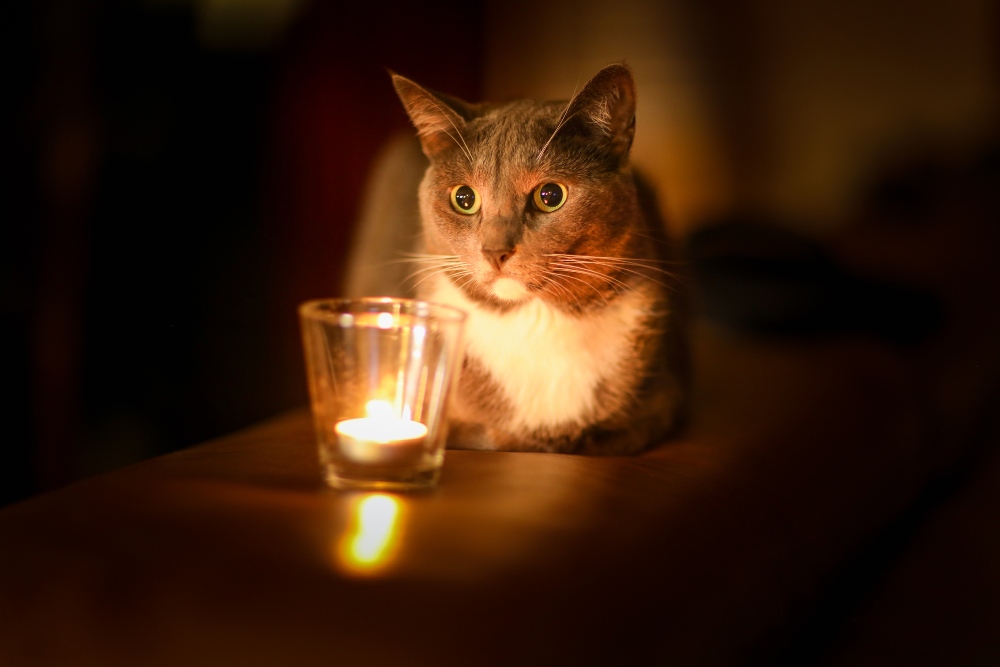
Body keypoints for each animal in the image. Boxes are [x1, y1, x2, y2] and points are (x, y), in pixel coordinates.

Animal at [352, 65, 688, 456]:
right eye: (463, 198)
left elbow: (606, 437)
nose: (494, 250)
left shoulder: (661, 406)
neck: (536, 318)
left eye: (551, 195)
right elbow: (490, 435)